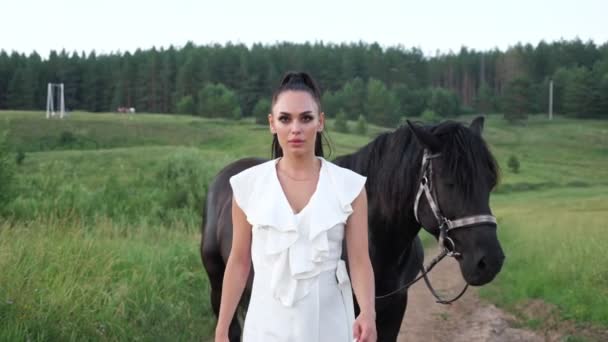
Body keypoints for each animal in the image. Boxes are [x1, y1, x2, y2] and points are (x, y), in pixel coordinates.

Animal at [200, 116, 504, 340]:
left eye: (490, 182)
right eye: (449, 182)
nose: (489, 262)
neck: (377, 243)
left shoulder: (393, 310)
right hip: (219, 287)